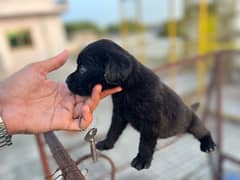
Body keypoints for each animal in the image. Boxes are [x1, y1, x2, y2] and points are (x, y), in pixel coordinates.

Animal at [66, 39, 217, 170]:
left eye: (83, 69)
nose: (66, 81)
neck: (128, 89)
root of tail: (191, 110)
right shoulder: (119, 115)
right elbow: (113, 131)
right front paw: (107, 143)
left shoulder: (151, 123)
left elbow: (145, 144)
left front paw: (142, 160)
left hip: (193, 124)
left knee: (204, 131)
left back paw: (208, 144)